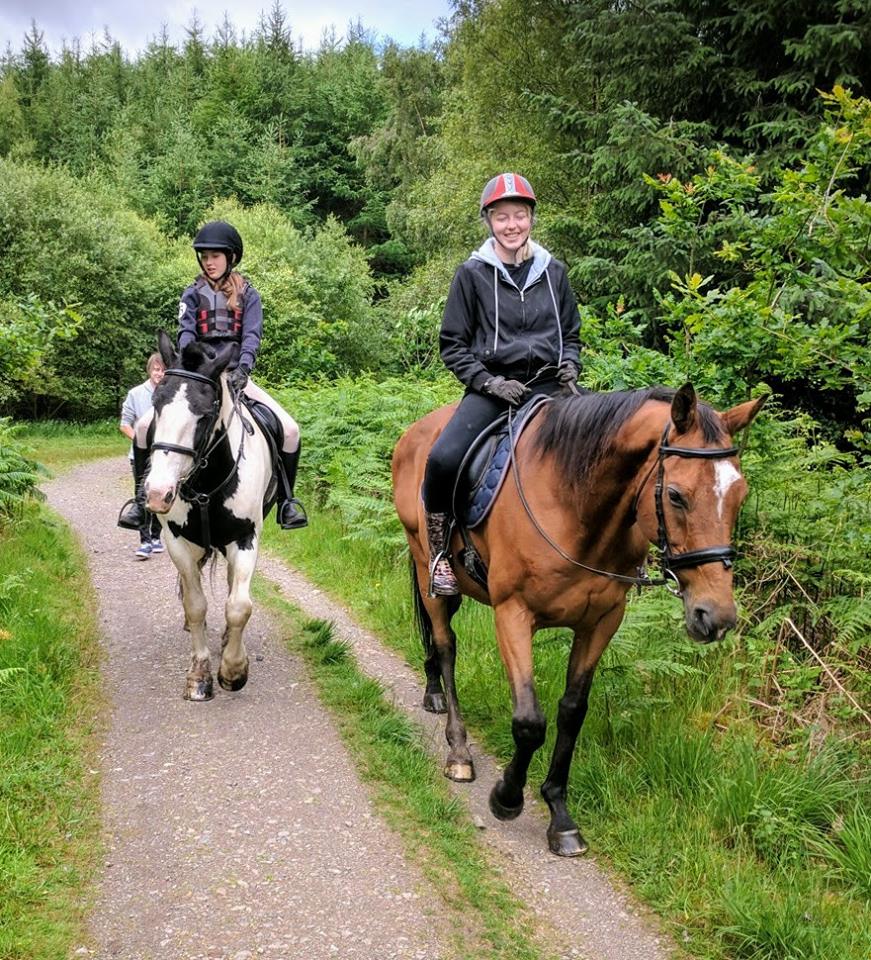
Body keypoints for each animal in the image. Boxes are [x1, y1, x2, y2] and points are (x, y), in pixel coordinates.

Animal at [144, 331, 276, 701]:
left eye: (204, 415)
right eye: (156, 406)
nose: (157, 494)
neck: (206, 483)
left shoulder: (245, 538)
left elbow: (239, 605)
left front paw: (233, 670)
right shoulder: (177, 542)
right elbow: (195, 605)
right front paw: (200, 676)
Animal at [392, 382, 765, 856]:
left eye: (740, 496)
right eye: (676, 495)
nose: (716, 616)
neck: (577, 507)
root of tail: (414, 432)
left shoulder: (601, 622)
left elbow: (572, 712)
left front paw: (560, 815)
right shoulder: (513, 614)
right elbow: (529, 722)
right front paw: (507, 797)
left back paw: (433, 693)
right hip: (428, 566)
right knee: (445, 645)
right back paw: (458, 751)